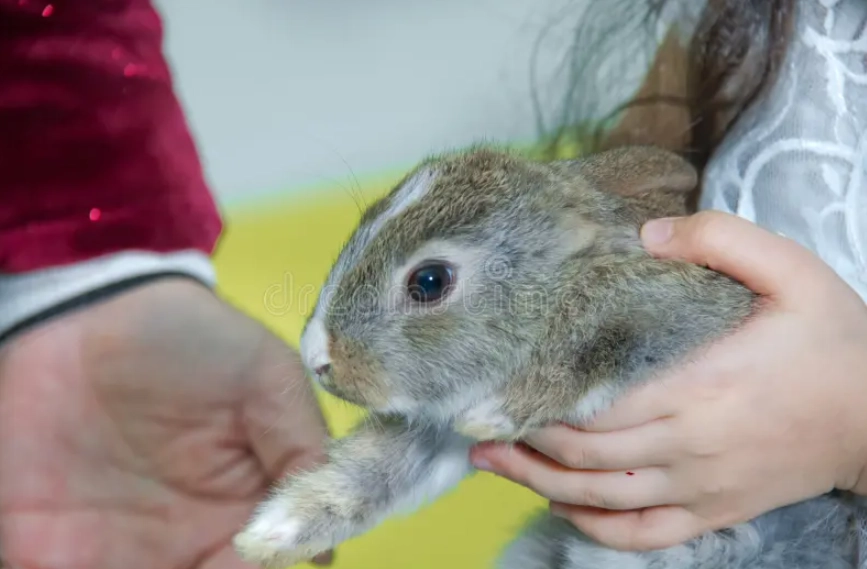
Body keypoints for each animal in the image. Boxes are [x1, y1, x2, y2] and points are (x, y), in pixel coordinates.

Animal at [232, 145, 867, 569]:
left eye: (430, 281)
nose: (317, 357)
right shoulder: (433, 430)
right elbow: (378, 471)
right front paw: (271, 533)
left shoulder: (674, 309)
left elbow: (605, 319)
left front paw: (501, 412)